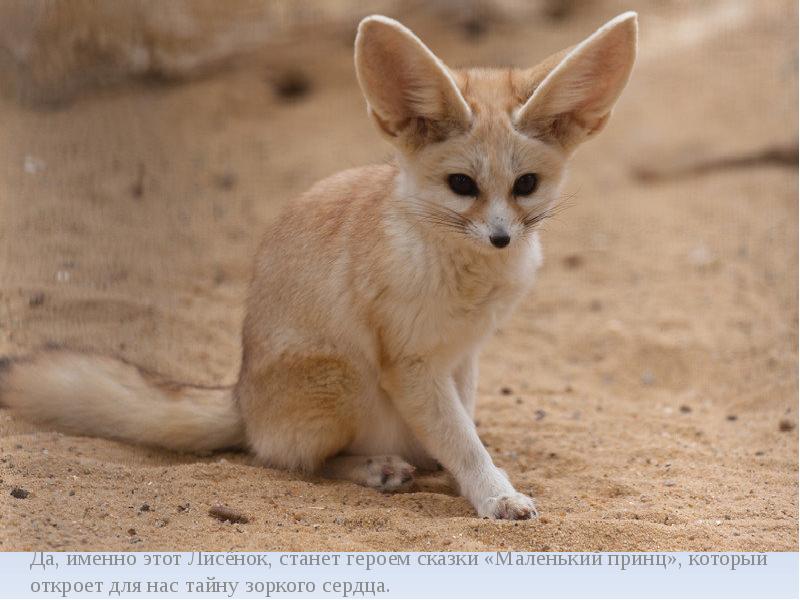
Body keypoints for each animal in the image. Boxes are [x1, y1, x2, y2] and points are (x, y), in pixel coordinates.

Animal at [0, 14, 636, 520]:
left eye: (525, 185)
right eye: (462, 185)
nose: (502, 238)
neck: (466, 275)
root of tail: (241, 396)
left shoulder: (465, 354)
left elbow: (462, 428)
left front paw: (469, 475)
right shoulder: (411, 365)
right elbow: (462, 440)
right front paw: (494, 493)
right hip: (346, 376)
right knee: (289, 460)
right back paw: (376, 468)